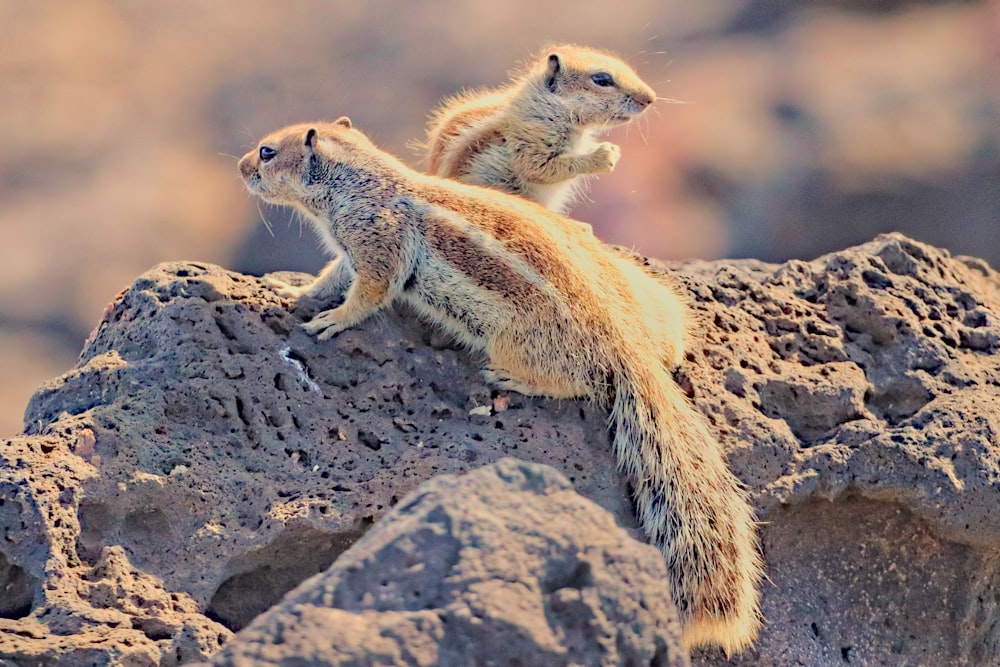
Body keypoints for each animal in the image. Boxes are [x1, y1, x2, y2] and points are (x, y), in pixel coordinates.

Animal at [238, 118, 760, 652]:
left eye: (266, 152)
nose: (241, 168)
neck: (361, 182)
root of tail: (626, 347)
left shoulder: (377, 244)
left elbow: (368, 294)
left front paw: (331, 321)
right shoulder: (351, 252)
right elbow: (330, 277)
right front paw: (291, 290)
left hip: (516, 342)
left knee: (580, 383)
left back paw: (512, 378)